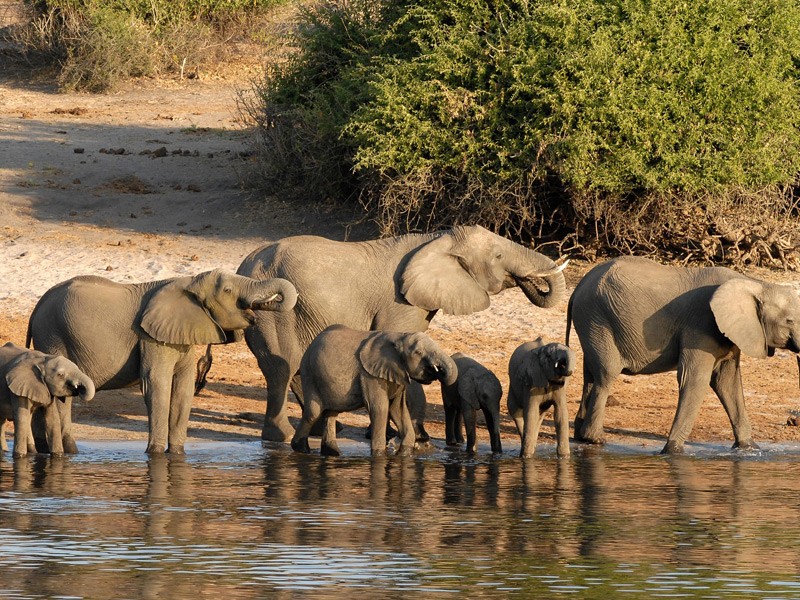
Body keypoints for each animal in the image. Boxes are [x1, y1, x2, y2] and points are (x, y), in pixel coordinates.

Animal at [28, 270, 298, 452]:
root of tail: (38, 304)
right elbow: (156, 384)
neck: (189, 281)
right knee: (59, 399)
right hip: (52, 334)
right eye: (228, 291)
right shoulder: (151, 337)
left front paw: (176, 455)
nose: (262, 307)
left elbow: (183, 388)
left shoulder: (181, 335)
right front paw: (155, 455)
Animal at [228, 225, 568, 440]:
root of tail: (244, 266)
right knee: (281, 369)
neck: (437, 238)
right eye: (497, 257)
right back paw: (282, 438)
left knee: (297, 370)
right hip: (273, 314)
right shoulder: (400, 302)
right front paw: (408, 437)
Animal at [292, 326, 456, 458]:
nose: (438, 371)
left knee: (331, 413)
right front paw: (379, 456)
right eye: (418, 352)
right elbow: (380, 409)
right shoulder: (369, 375)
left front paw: (403, 454)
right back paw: (301, 450)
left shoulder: (397, 374)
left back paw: (332, 453)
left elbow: (398, 409)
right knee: (313, 413)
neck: (399, 337)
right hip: (309, 373)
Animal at [564, 256, 800, 454]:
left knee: (590, 375)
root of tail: (577, 288)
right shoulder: (701, 324)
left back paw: (582, 437)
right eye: (789, 321)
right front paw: (672, 452)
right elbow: (694, 379)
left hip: (592, 322)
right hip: (597, 319)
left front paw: (749, 448)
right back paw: (595, 439)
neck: (755, 284)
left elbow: (727, 382)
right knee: (606, 375)